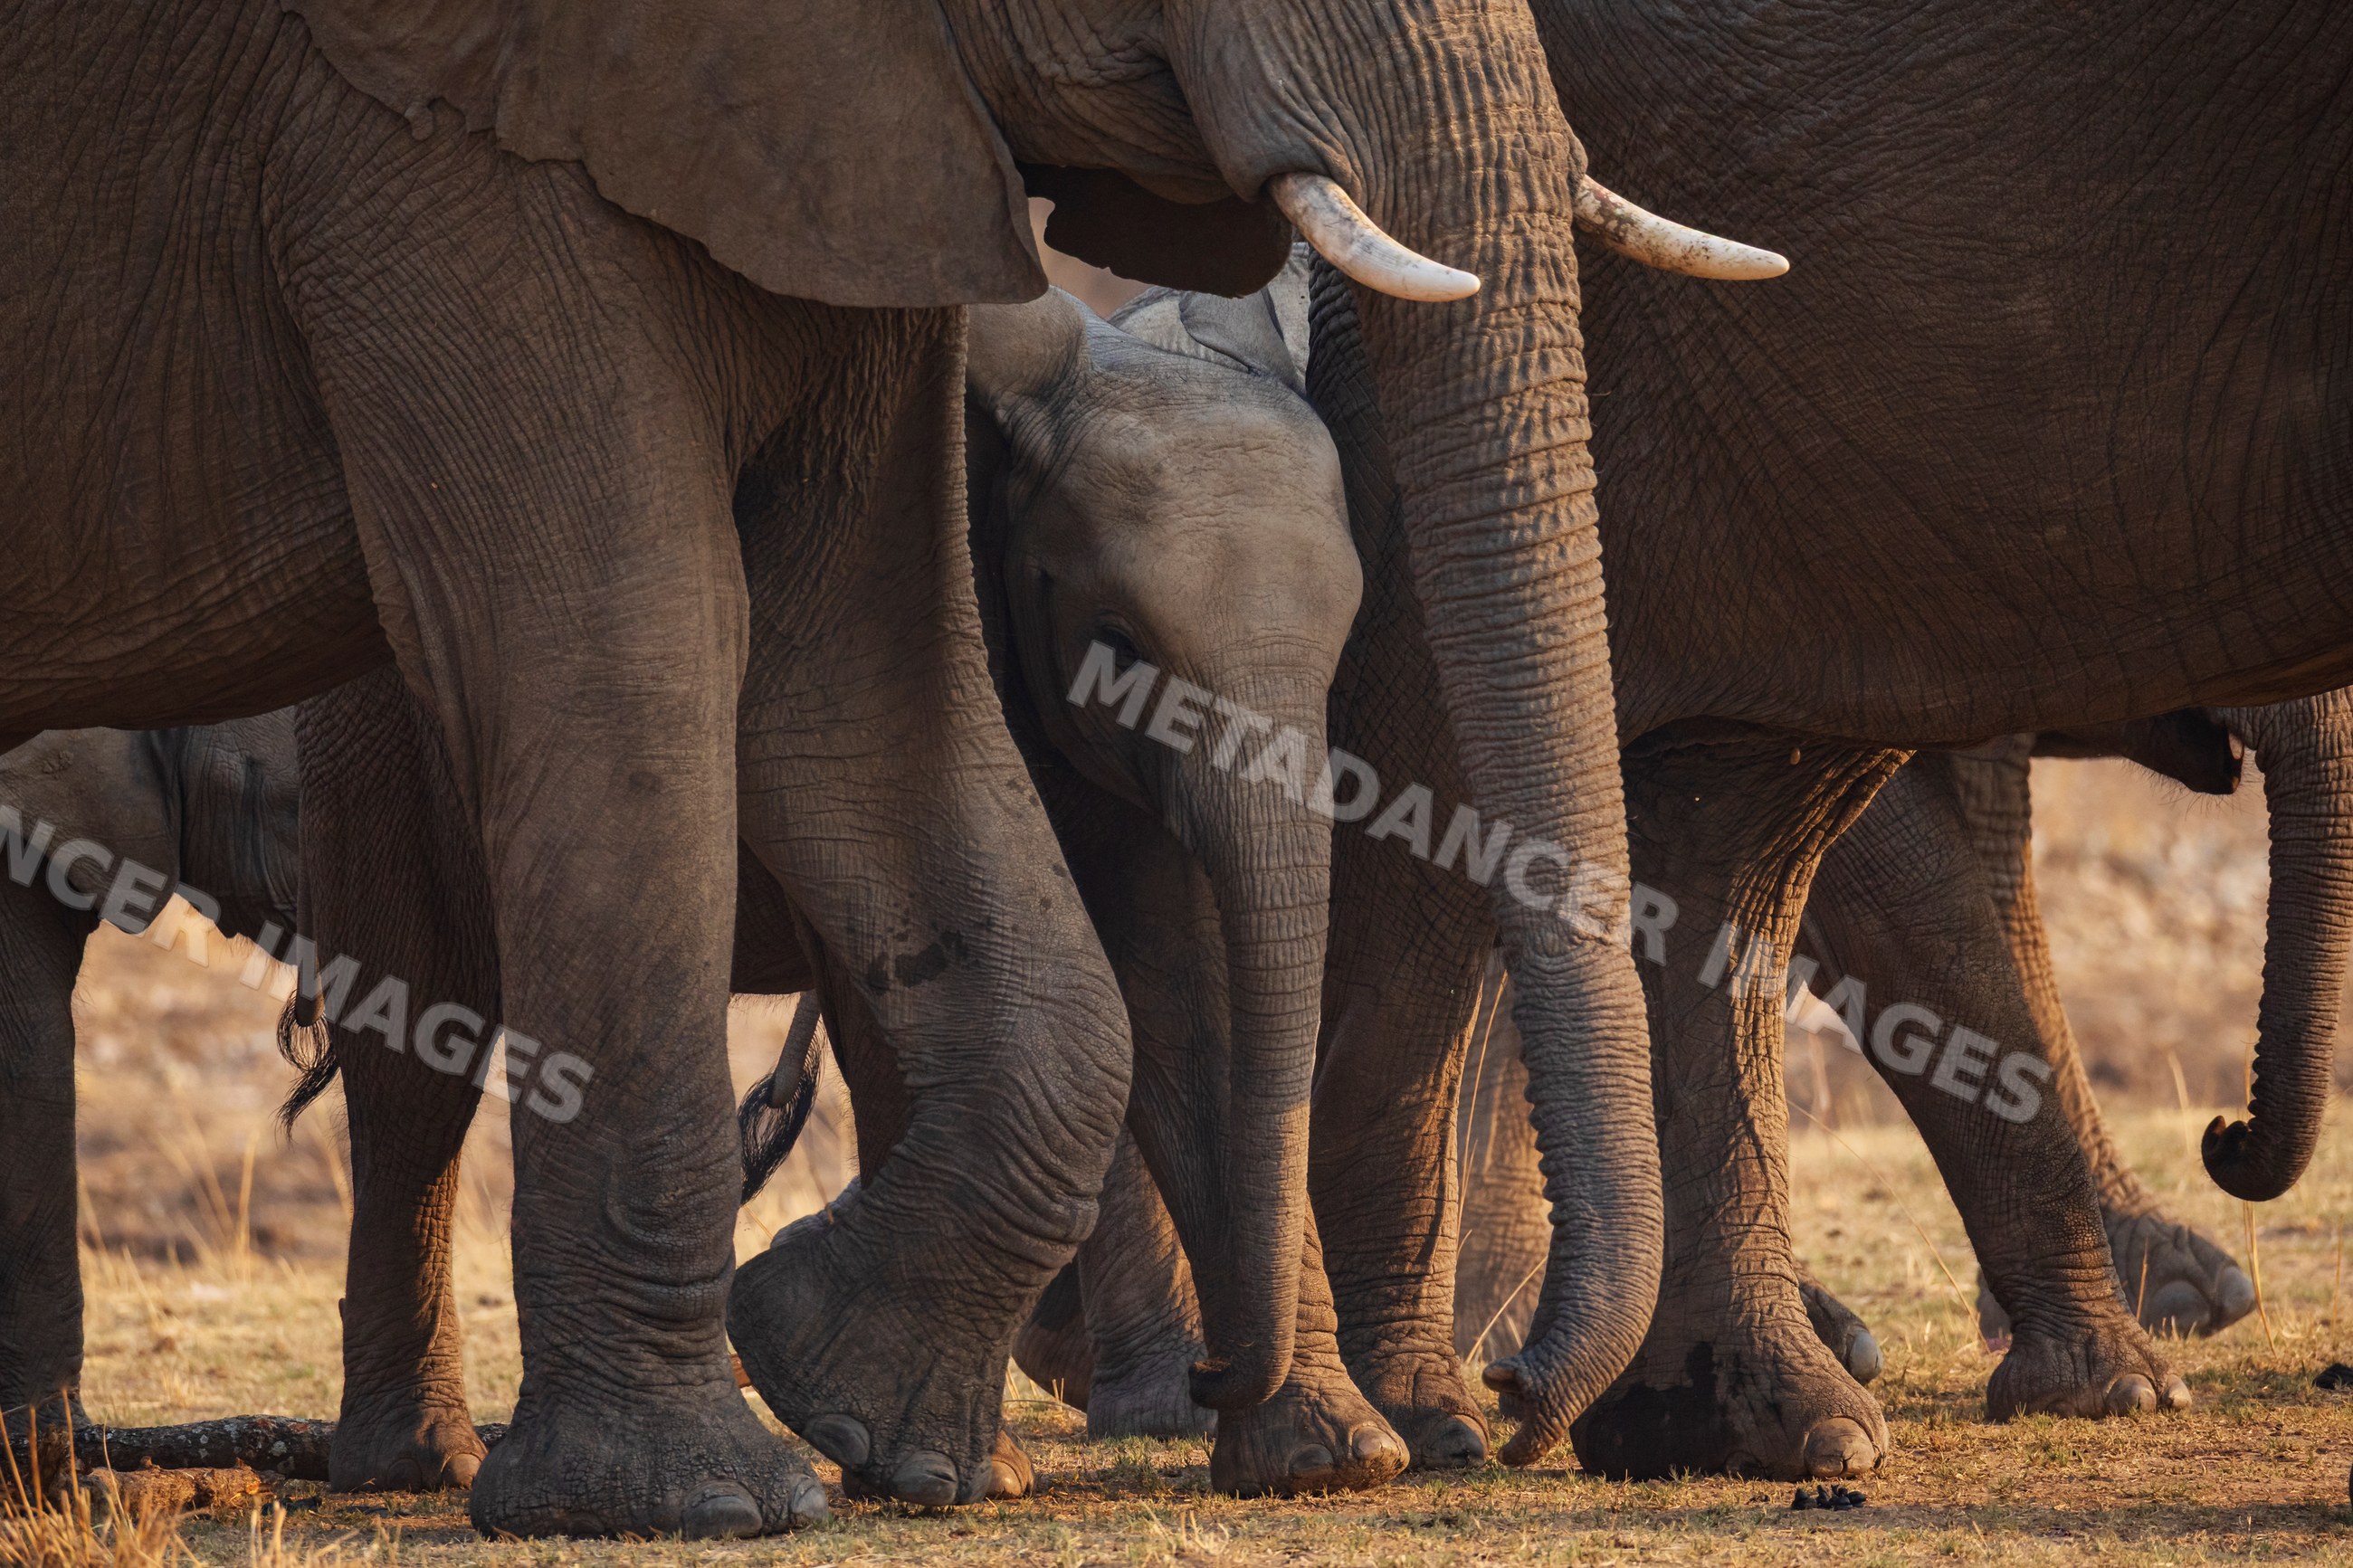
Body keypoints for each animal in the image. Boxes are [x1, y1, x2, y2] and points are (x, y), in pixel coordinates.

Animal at [4, 0, 1797, 1529]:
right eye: (1120, 648)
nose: (1520, 1400)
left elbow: (982, 813)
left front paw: (1223, 1454)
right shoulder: (441, 152)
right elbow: (639, 659)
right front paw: (725, 1487)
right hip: (370, 743)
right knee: (413, 1044)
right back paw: (413, 1464)